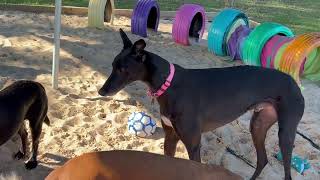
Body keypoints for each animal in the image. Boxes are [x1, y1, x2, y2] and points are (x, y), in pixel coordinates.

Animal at [98, 28, 304, 179]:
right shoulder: (170, 137)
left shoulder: (193, 144)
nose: (101, 91)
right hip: (258, 125)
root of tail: (294, 82)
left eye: (122, 69)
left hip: (285, 134)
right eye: (113, 65)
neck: (168, 83)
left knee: (286, 171)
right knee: (262, 160)